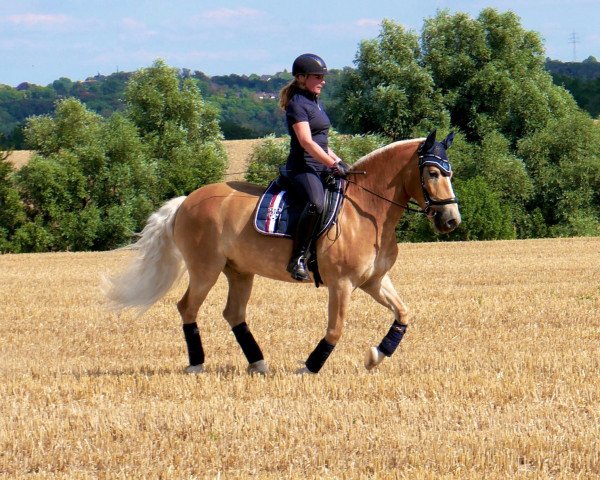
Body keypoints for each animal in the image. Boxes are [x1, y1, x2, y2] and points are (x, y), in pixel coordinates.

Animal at [104, 130, 460, 376]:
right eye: (432, 174)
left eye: (450, 173)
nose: (451, 220)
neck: (367, 211)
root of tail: (185, 201)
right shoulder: (341, 284)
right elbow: (336, 328)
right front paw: (310, 367)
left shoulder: (374, 281)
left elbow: (403, 314)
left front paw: (376, 355)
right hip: (205, 269)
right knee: (187, 307)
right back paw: (196, 364)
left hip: (240, 272)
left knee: (234, 313)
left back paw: (258, 363)